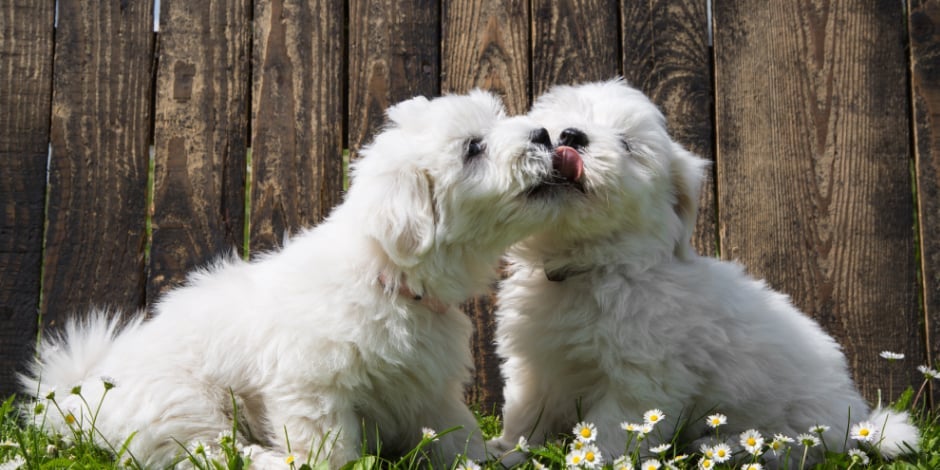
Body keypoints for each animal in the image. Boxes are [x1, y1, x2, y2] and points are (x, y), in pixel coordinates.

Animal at [22, 90, 568, 468]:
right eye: (473, 148)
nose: (544, 134)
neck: (387, 277)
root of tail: (82, 394)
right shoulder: (312, 387)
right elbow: (331, 447)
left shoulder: (430, 387)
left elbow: (457, 433)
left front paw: (494, 456)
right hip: (183, 400)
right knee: (205, 450)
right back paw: (266, 459)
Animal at [492, 79, 916, 464]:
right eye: (557, 126)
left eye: (628, 145)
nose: (570, 135)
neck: (595, 266)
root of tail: (857, 422)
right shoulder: (535, 364)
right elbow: (526, 412)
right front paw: (506, 451)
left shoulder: (641, 379)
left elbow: (612, 431)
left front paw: (588, 459)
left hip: (797, 423)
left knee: (785, 448)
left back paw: (716, 446)